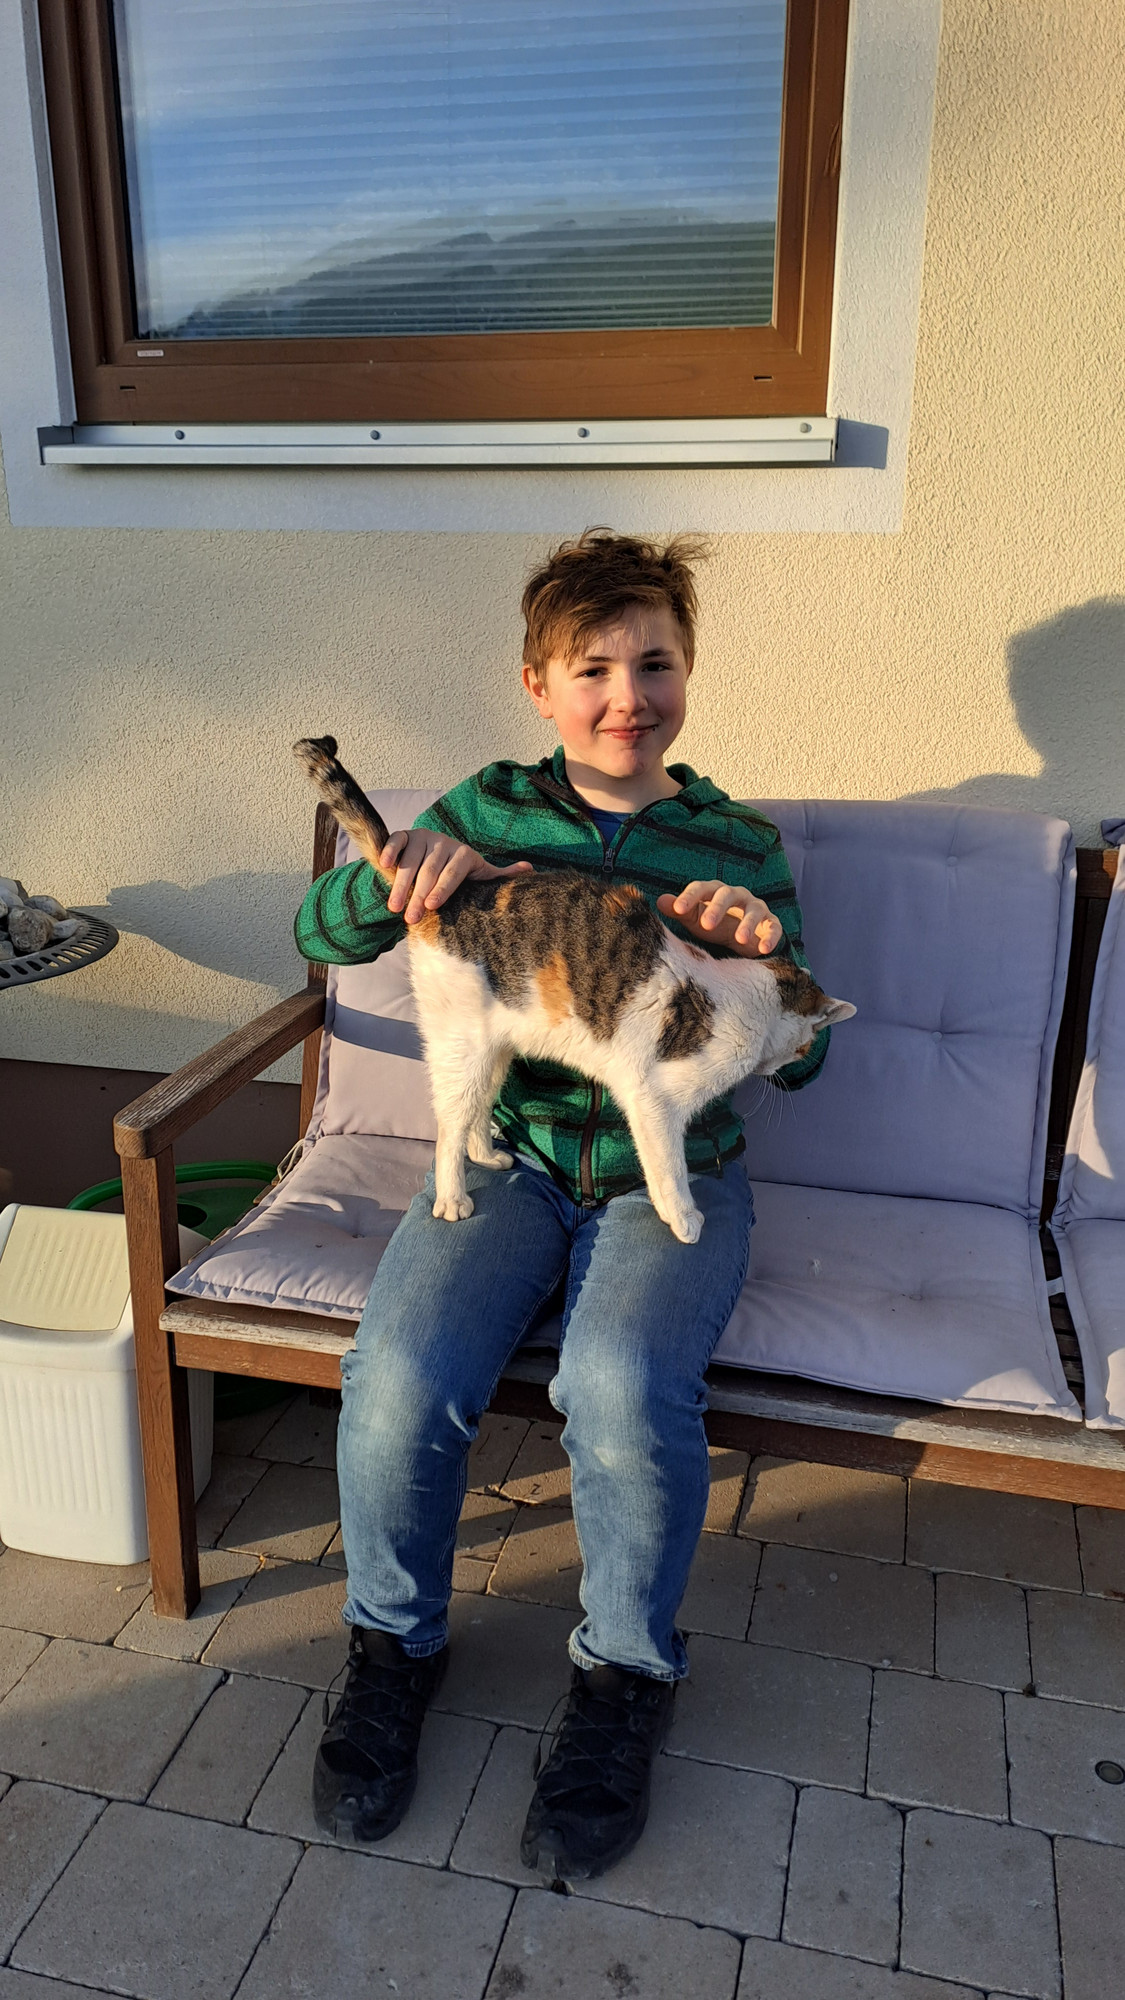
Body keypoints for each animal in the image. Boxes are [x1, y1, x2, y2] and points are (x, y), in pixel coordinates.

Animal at [294, 737, 855, 1244]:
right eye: (803, 1046)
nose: (781, 1070)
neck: (750, 1002)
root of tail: (450, 899)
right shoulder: (654, 1101)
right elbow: (669, 1171)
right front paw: (684, 1219)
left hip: (493, 1049)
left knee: (475, 1116)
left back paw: (488, 1155)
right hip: (461, 1045)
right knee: (450, 1127)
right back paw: (452, 1199)